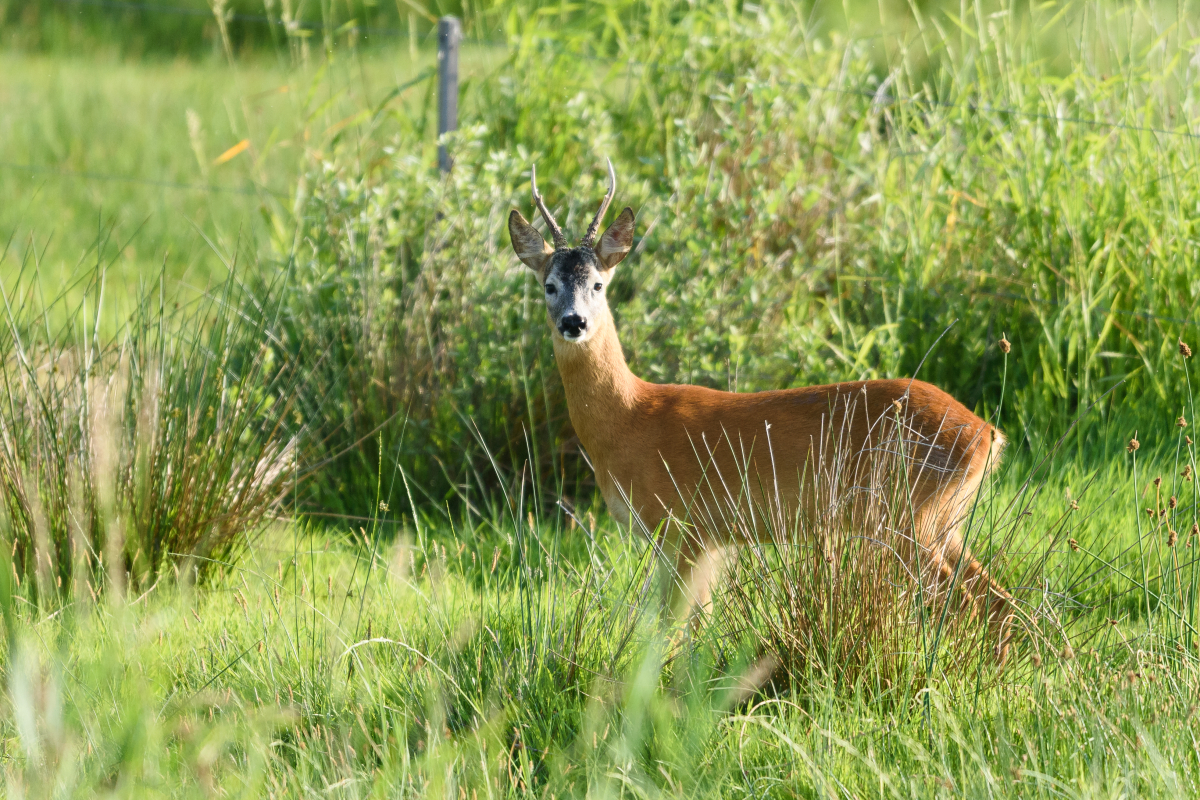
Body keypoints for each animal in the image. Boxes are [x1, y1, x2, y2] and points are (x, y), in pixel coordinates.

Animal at [506, 159, 1012, 662]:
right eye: (548, 285)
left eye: (598, 283)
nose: (574, 322)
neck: (630, 419)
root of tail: (987, 433)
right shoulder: (707, 539)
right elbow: (690, 625)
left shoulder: (686, 526)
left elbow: (671, 626)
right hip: (941, 521)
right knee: (998, 600)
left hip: (903, 515)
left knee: (967, 603)